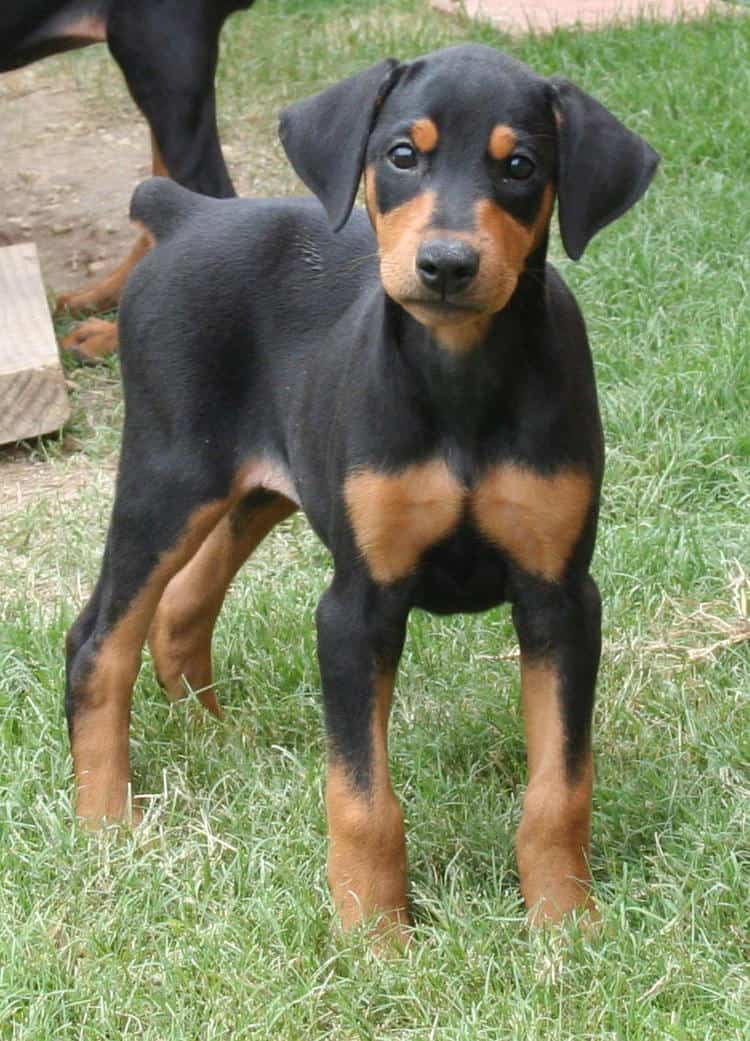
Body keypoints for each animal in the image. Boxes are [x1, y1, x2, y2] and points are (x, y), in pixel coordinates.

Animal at [67, 44, 658, 941]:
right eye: (402, 155)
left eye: (521, 167)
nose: (446, 266)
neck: (459, 374)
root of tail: (187, 214)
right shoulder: (357, 603)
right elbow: (361, 794)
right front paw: (373, 934)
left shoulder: (560, 594)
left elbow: (561, 785)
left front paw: (564, 921)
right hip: (168, 475)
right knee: (98, 640)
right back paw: (105, 822)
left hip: (262, 483)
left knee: (182, 605)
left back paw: (213, 734)